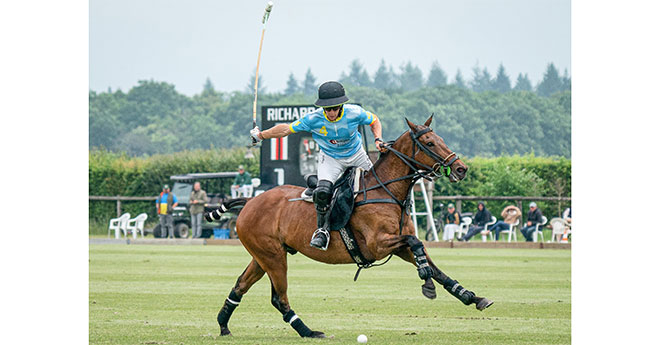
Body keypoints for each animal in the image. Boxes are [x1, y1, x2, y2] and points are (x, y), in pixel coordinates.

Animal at [209, 115, 492, 336]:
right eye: (430, 142)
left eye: (441, 138)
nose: (461, 168)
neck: (387, 191)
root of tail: (250, 201)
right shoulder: (378, 245)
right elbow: (418, 244)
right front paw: (427, 283)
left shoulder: (398, 247)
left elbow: (433, 264)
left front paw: (471, 296)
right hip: (273, 256)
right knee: (279, 298)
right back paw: (309, 331)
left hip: (264, 255)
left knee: (240, 286)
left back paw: (223, 325)